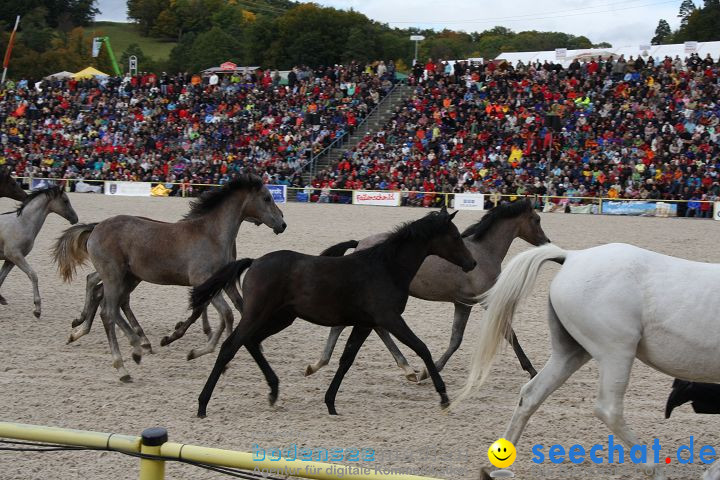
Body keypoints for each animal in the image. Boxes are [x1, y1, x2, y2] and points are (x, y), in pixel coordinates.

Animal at [52, 174, 286, 380]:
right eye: (267, 198)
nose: (282, 224)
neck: (212, 235)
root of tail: (96, 227)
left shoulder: (221, 282)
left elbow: (233, 308)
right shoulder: (202, 280)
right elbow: (226, 314)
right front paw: (205, 353)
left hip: (126, 277)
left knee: (106, 297)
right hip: (114, 275)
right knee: (108, 310)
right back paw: (124, 364)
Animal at [186, 208, 478, 418]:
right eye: (455, 237)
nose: (472, 263)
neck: (386, 268)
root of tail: (255, 261)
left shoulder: (365, 324)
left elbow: (346, 360)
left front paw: (330, 403)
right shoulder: (390, 319)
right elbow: (422, 348)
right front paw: (444, 397)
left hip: (281, 318)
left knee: (251, 342)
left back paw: (273, 391)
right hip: (258, 314)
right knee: (230, 346)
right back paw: (202, 404)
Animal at [302, 199, 544, 382]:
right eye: (537, 219)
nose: (546, 241)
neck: (483, 253)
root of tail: (360, 243)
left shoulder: (463, 304)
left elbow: (455, 340)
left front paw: (428, 370)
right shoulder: (487, 302)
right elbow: (510, 334)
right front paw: (532, 370)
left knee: (371, 328)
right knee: (354, 326)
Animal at [456, 244, 720, 480]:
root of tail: (573, 256)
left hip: (570, 354)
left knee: (531, 395)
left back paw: (495, 469)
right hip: (617, 352)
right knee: (609, 410)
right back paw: (655, 471)